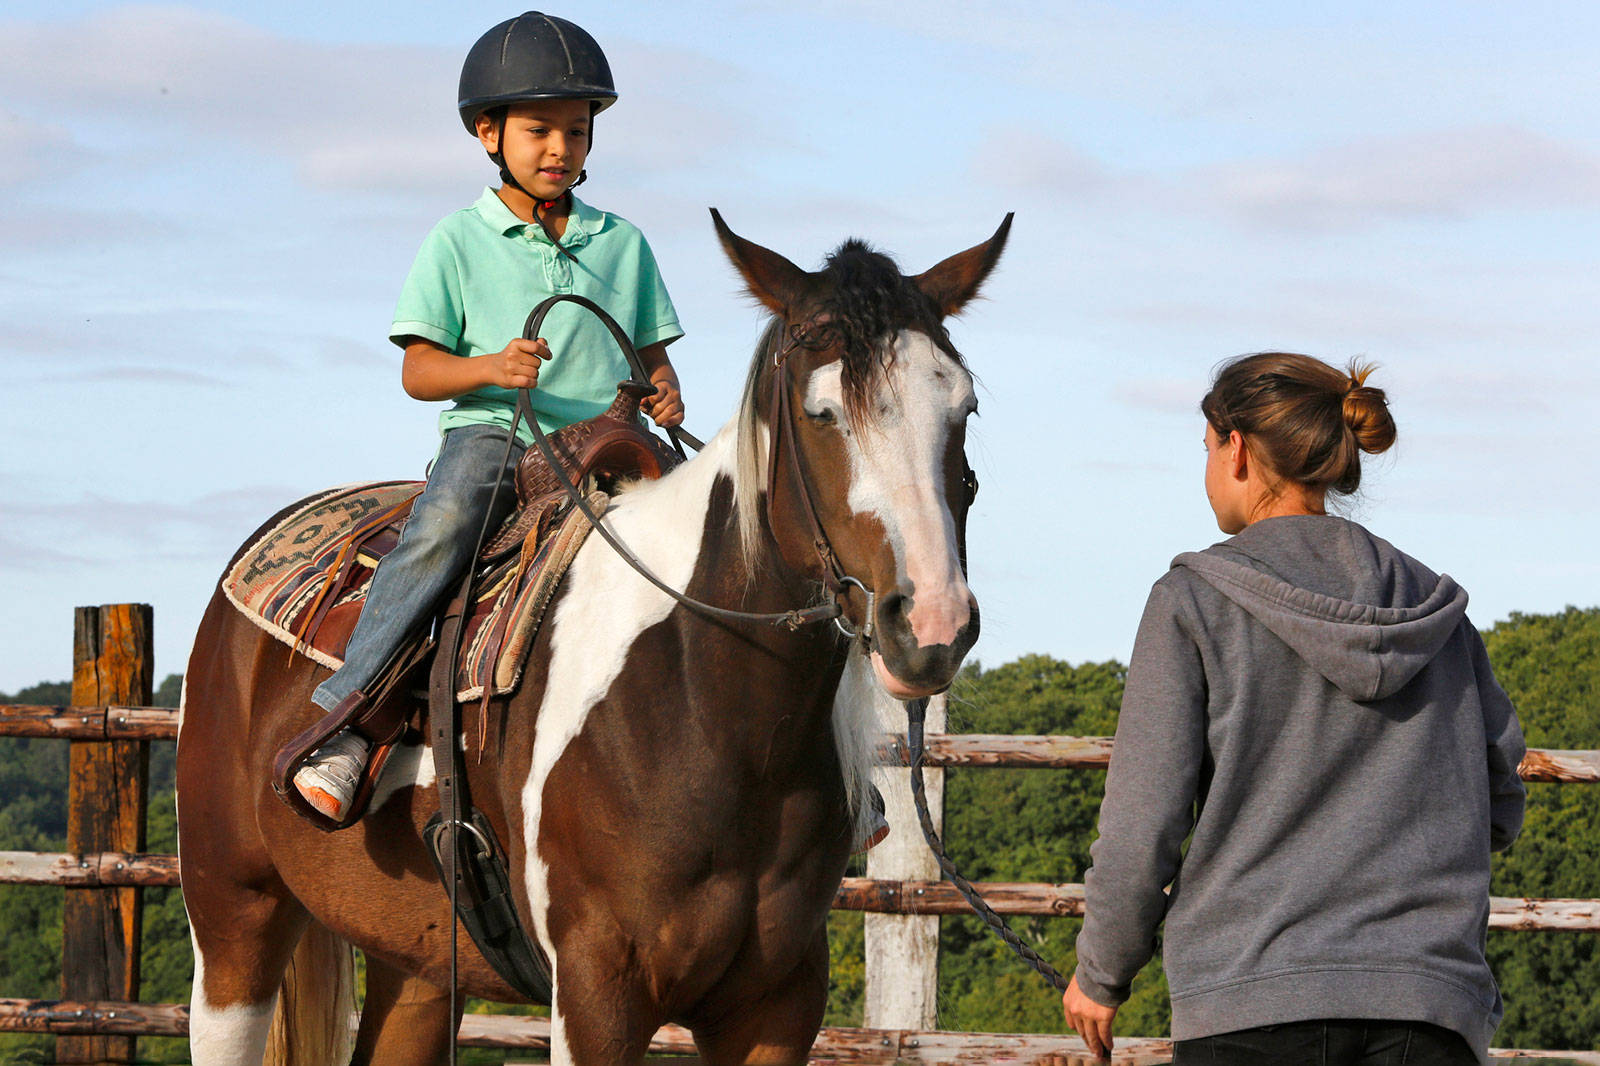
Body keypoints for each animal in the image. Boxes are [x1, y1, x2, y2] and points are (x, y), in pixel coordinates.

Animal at [176, 210, 1010, 1066]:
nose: (931, 623)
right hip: (232, 915)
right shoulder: (595, 991)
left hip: (415, 967)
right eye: (821, 413)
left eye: (964, 409)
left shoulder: (778, 1006)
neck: (709, 712)